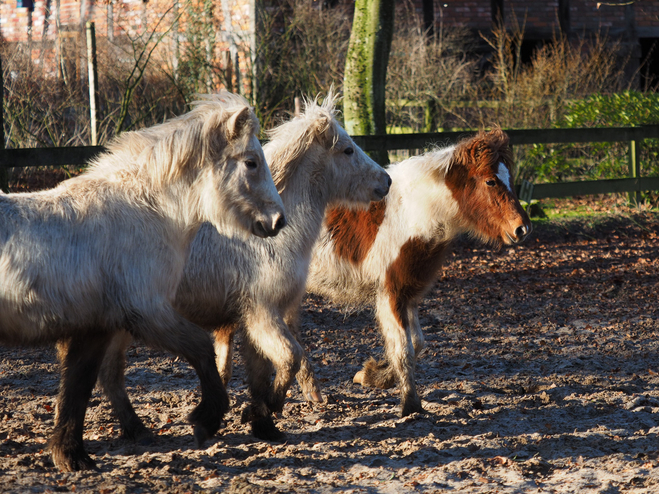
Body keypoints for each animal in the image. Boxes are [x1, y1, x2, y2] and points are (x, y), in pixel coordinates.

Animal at [0, 91, 284, 470]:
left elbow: (78, 385)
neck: (146, 211)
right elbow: (201, 347)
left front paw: (70, 454)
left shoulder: (97, 325)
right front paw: (205, 419)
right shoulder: (147, 311)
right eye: (251, 162)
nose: (278, 220)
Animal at [95, 92, 390, 440]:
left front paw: (259, 419)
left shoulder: (252, 320)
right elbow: (290, 357)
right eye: (347, 149)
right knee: (110, 374)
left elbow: (257, 372)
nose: (386, 180)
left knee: (109, 374)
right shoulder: (260, 312)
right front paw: (264, 409)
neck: (268, 238)